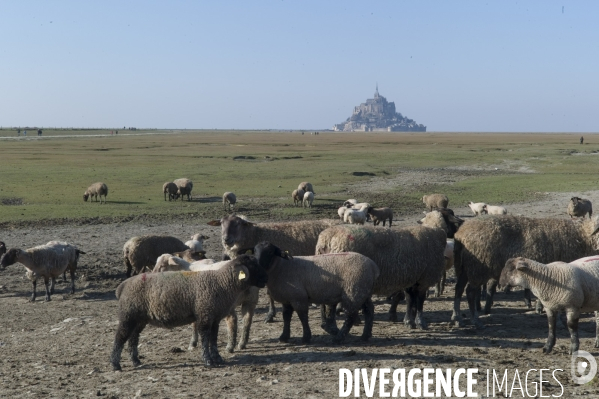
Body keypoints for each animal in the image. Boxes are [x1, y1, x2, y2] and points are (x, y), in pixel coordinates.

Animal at [109, 255, 268, 370]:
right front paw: (208, 361)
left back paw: (136, 361)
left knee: (133, 338)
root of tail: (123, 286)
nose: (265, 280)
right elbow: (205, 338)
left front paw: (217, 358)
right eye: (253, 266)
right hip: (128, 315)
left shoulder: (214, 317)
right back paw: (116, 365)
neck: (222, 282)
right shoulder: (204, 314)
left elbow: (213, 339)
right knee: (120, 337)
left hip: (140, 318)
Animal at [206, 214, 340, 324]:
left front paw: (270, 315)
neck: (255, 234)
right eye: (221, 223)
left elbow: (269, 293)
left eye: (238, 223)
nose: (226, 239)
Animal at [316, 225, 448, 332]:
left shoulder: (412, 278)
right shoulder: (424, 279)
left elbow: (411, 301)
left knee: (324, 301)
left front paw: (409, 321)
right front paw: (420, 323)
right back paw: (337, 325)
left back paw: (326, 324)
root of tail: (327, 238)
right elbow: (419, 302)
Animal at [452, 217, 599, 330]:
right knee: (470, 292)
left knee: (458, 289)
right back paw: (476, 321)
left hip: (463, 267)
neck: (583, 238)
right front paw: (558, 322)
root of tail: (461, 233)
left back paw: (457, 318)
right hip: (477, 268)